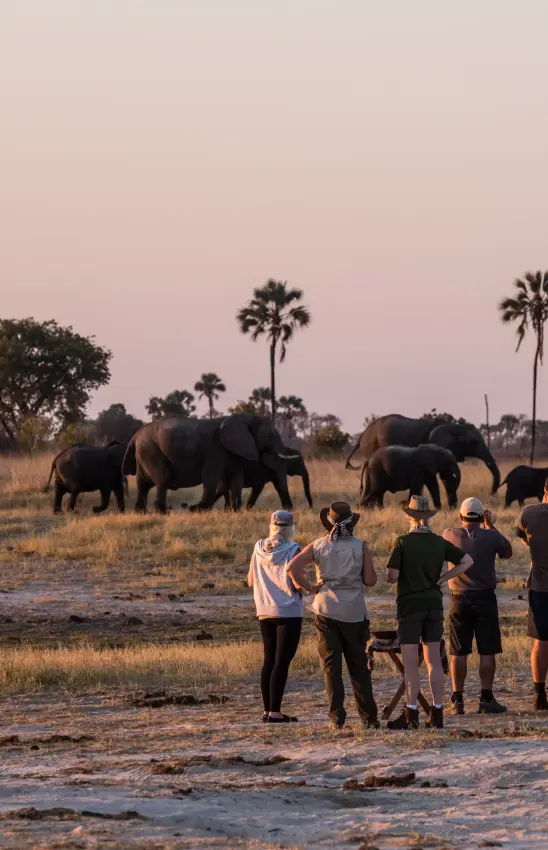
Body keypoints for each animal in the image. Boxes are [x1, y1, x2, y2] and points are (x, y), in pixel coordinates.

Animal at [122, 414, 296, 513]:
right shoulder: (216, 449)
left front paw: (235, 511)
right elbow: (211, 478)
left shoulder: (234, 452)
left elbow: (235, 481)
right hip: (151, 451)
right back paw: (162, 512)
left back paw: (141, 513)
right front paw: (197, 510)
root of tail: (135, 435)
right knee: (162, 480)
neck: (245, 418)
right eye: (270, 436)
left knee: (143, 484)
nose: (290, 510)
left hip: (144, 453)